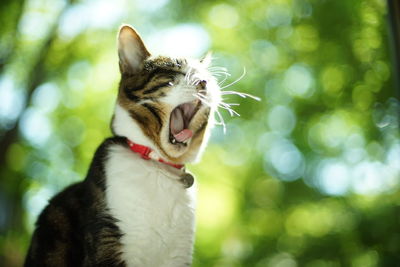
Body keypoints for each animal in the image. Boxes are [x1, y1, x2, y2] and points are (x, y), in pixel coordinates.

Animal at [24, 24, 222, 266]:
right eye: (175, 72)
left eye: (208, 78)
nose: (204, 83)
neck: (159, 165)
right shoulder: (108, 244)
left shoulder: (177, 256)